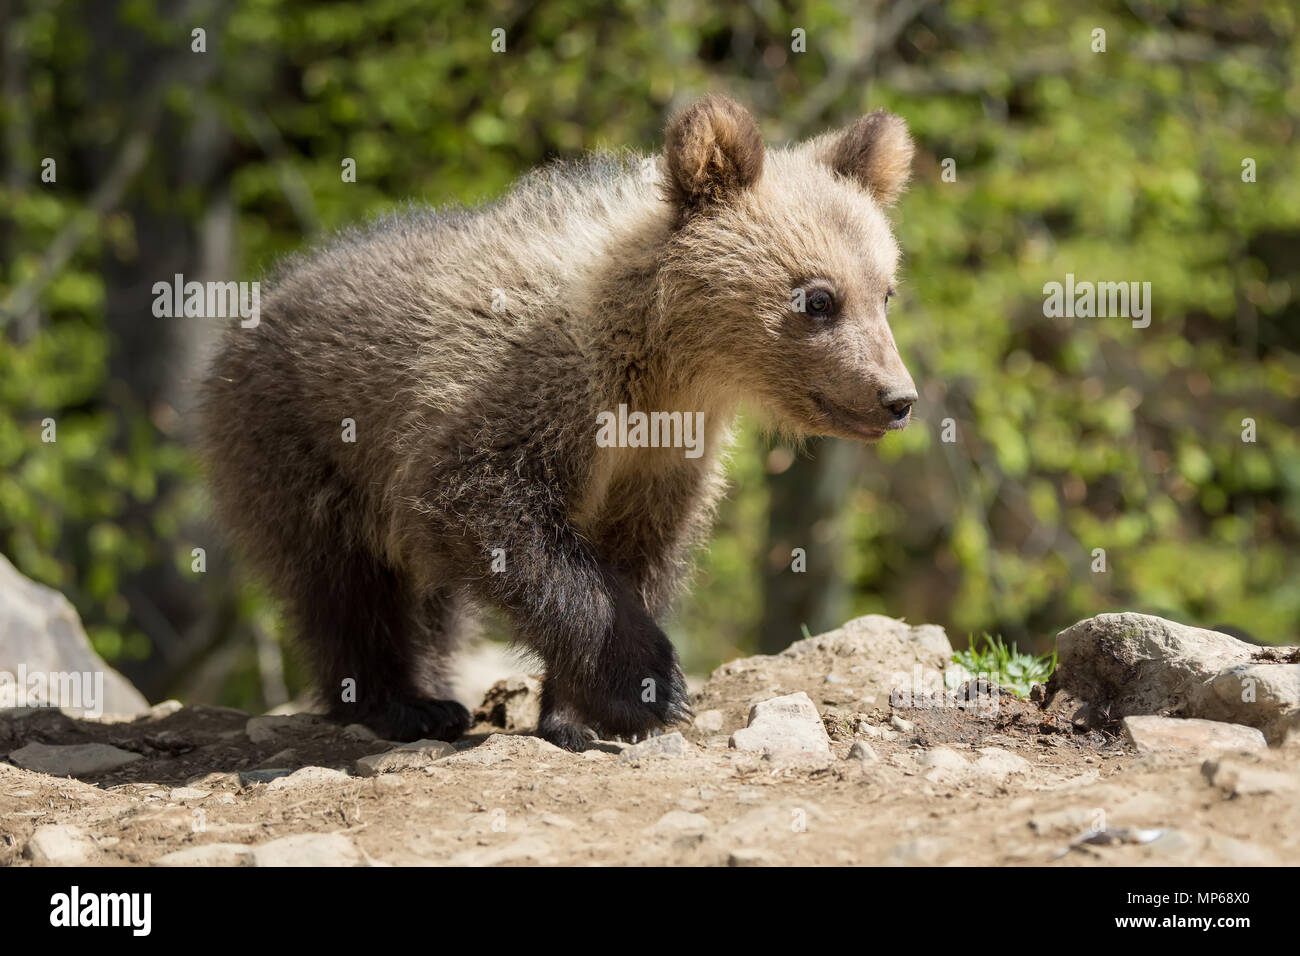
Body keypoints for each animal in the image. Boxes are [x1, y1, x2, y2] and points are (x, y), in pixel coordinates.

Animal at [198, 95, 918, 751]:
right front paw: (649, 688)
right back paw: (400, 704)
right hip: (302, 438)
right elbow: (496, 519)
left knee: (431, 607)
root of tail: (269, 290)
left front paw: (582, 714)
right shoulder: (523, 398)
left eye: (885, 291)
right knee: (345, 584)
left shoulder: (662, 459)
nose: (898, 397)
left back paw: (436, 693)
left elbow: (637, 557)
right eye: (819, 299)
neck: (660, 366)